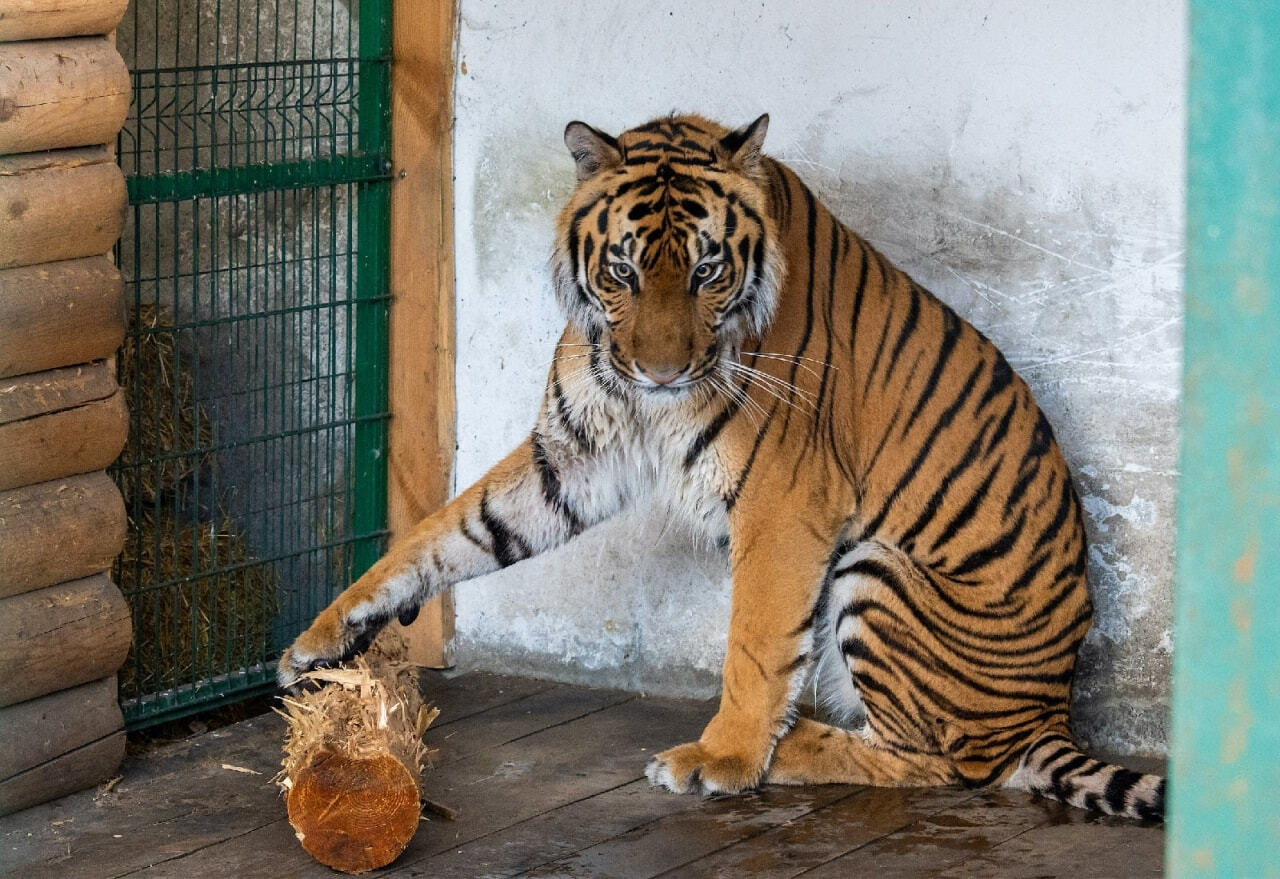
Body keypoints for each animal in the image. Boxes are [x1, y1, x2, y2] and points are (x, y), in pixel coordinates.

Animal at [280, 113, 1172, 823]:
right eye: (623, 270)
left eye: (708, 271)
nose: (662, 373)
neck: (642, 400)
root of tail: (1049, 712)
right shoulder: (573, 455)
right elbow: (452, 530)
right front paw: (330, 630)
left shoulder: (785, 498)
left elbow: (755, 639)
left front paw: (724, 758)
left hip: (878, 567)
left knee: (947, 763)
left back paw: (793, 741)